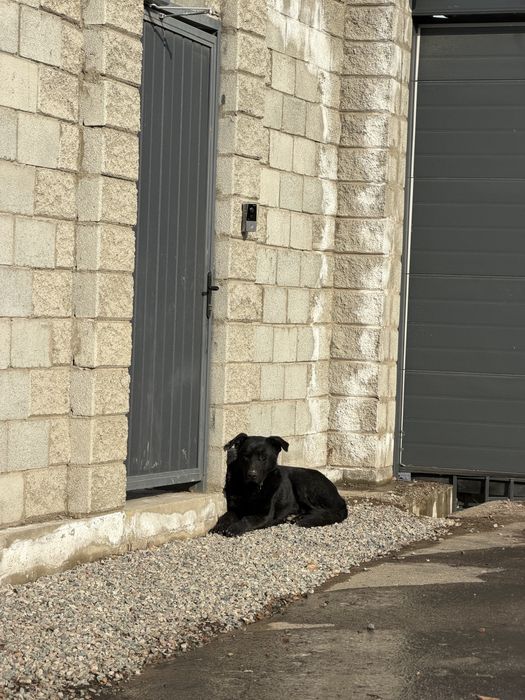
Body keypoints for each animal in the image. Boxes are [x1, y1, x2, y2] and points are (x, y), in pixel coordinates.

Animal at [210, 433, 348, 537]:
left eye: (263, 457)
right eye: (246, 456)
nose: (251, 475)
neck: (252, 489)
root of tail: (340, 498)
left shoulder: (264, 515)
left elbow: (247, 519)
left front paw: (234, 528)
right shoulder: (235, 509)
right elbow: (226, 516)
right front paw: (219, 526)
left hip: (301, 481)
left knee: (322, 511)